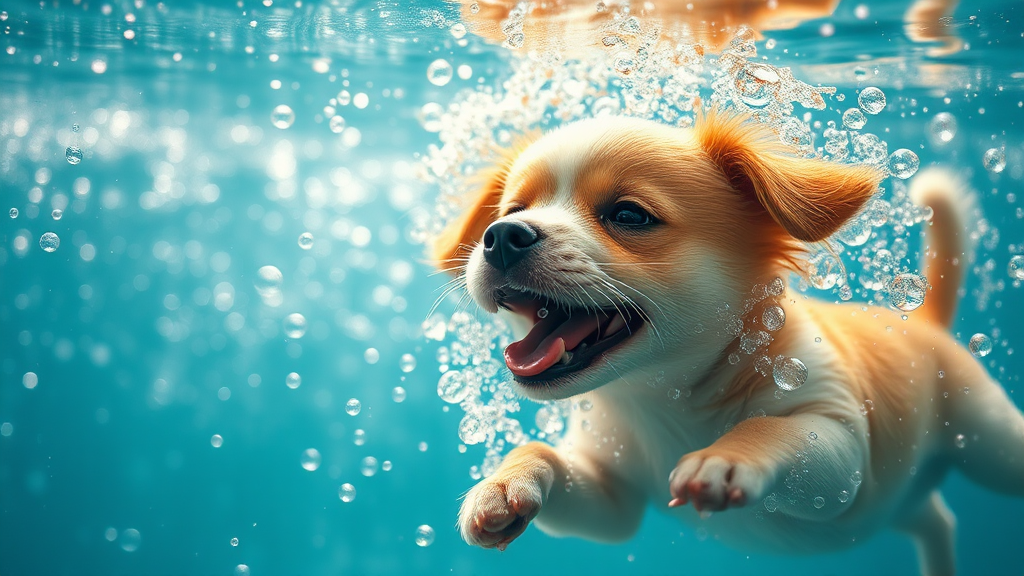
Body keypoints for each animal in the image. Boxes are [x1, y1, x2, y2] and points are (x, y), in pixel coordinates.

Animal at [432, 108, 1024, 573]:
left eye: (628, 215)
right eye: (511, 212)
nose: (501, 236)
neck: (667, 395)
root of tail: (925, 322)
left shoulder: (840, 450)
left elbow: (771, 428)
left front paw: (723, 458)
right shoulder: (612, 498)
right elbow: (546, 458)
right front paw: (505, 484)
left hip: (991, 445)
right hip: (903, 501)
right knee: (935, 518)